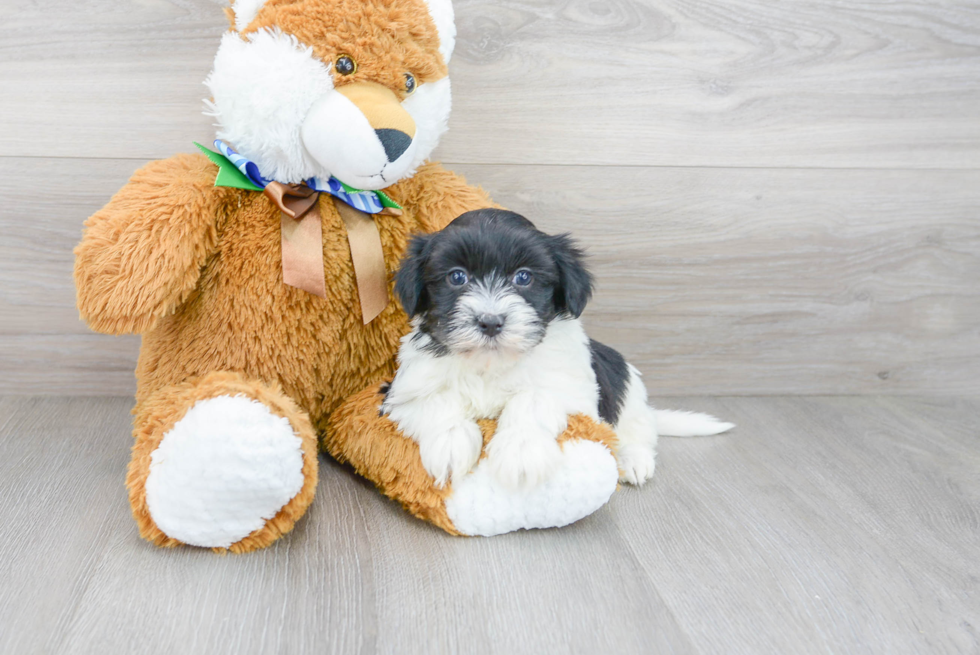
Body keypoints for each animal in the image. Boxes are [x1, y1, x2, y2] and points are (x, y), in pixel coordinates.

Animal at [378, 208, 732, 490]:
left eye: (524, 277)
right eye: (457, 277)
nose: (490, 322)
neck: (491, 363)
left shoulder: (568, 387)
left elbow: (532, 400)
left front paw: (520, 450)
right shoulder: (401, 391)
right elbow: (439, 402)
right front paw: (450, 444)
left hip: (627, 386)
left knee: (636, 428)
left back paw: (632, 458)